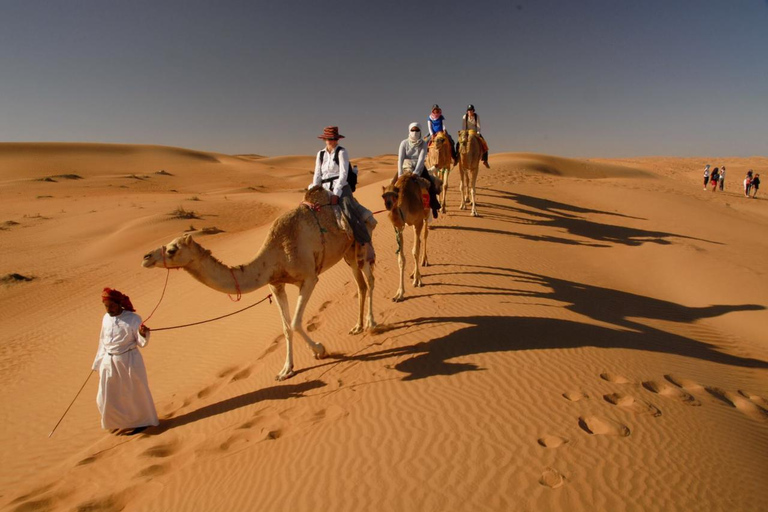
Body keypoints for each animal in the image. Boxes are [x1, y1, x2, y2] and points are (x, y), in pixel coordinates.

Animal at [142, 186, 378, 382]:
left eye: (172, 250)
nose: (146, 257)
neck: (276, 253)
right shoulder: (276, 284)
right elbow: (285, 327)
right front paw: (286, 370)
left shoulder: (309, 278)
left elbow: (295, 322)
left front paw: (319, 349)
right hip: (348, 252)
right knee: (360, 284)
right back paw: (357, 327)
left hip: (362, 243)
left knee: (370, 280)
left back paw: (372, 323)